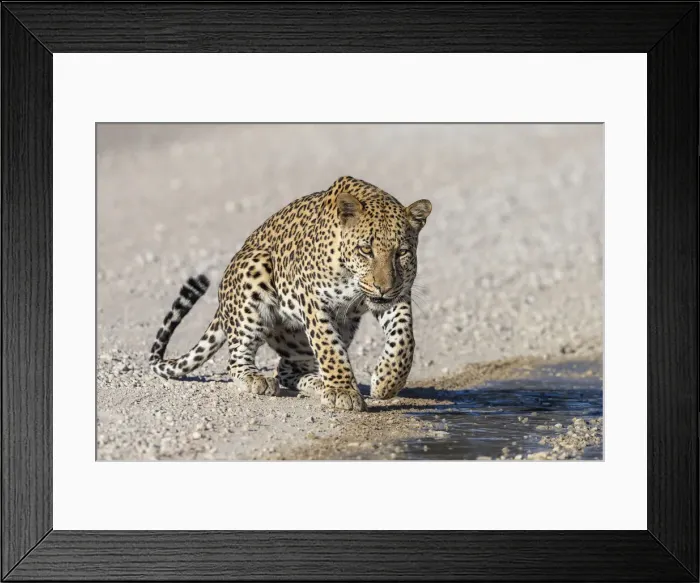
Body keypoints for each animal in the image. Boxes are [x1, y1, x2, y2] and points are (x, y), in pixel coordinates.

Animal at [149, 176, 432, 411]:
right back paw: (256, 378)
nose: (383, 287)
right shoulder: (314, 302)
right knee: (238, 358)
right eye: (365, 250)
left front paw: (385, 382)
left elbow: (404, 339)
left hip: (327, 330)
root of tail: (222, 303)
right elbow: (329, 348)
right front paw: (343, 391)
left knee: (285, 369)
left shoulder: (398, 296)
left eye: (401, 252)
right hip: (255, 270)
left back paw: (317, 383)